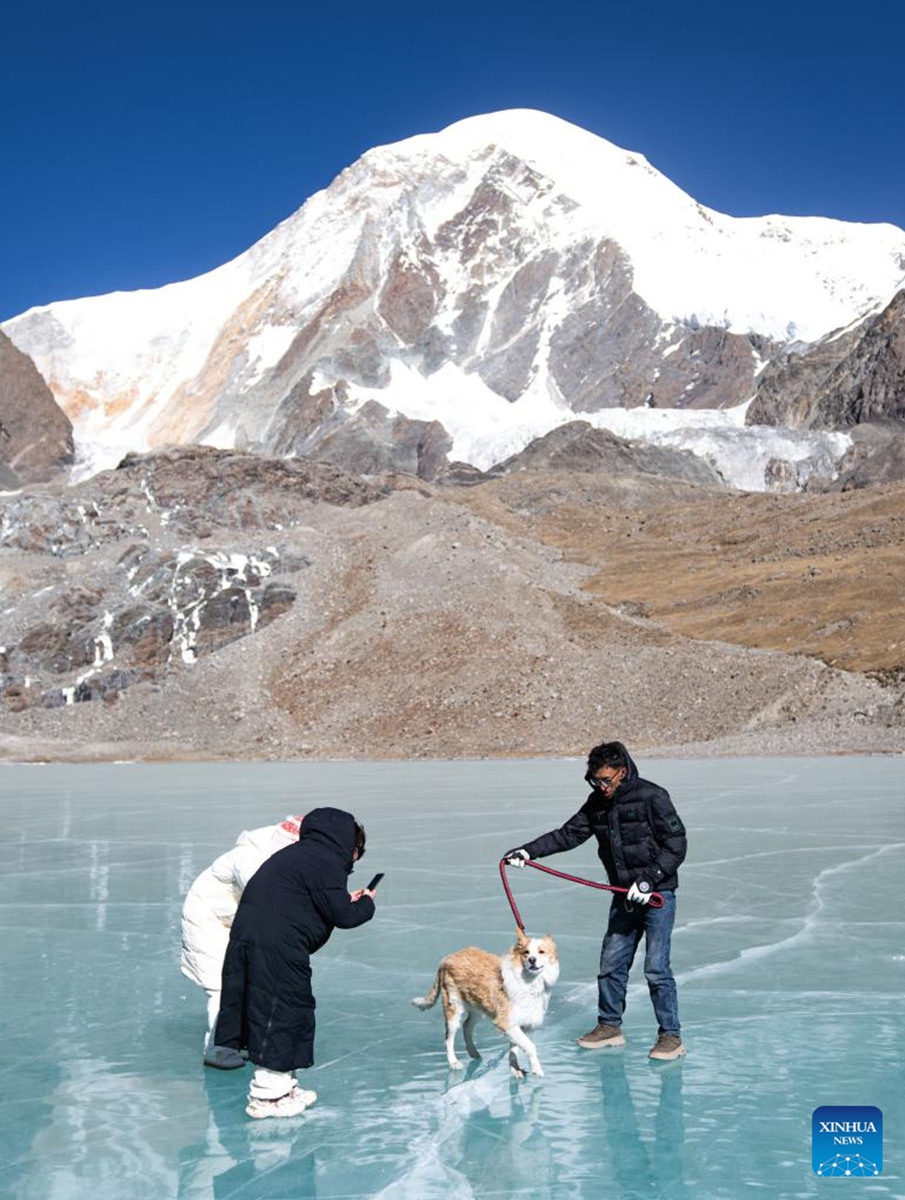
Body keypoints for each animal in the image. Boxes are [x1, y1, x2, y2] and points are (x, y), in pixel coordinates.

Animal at [410, 926, 556, 1080]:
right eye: (526, 952)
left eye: (541, 952)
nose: (532, 960)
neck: (528, 981)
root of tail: (447, 958)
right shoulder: (506, 1022)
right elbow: (529, 1046)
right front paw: (536, 1069)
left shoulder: (520, 1024)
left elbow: (514, 1048)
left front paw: (514, 1069)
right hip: (453, 1007)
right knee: (448, 1038)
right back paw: (453, 1062)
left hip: (477, 1006)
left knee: (467, 1026)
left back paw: (473, 1052)